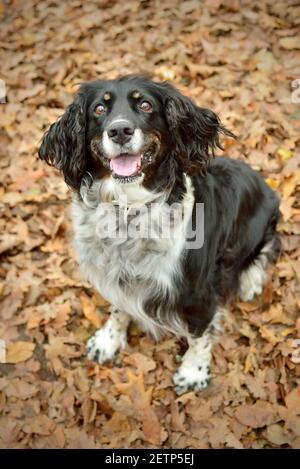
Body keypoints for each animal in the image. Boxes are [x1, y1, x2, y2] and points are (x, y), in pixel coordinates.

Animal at [39, 75, 282, 394]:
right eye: (99, 109)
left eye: (145, 104)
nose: (120, 131)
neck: (129, 211)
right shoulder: (115, 274)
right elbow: (118, 308)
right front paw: (108, 340)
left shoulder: (197, 291)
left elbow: (199, 334)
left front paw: (193, 371)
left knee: (264, 250)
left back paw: (250, 281)